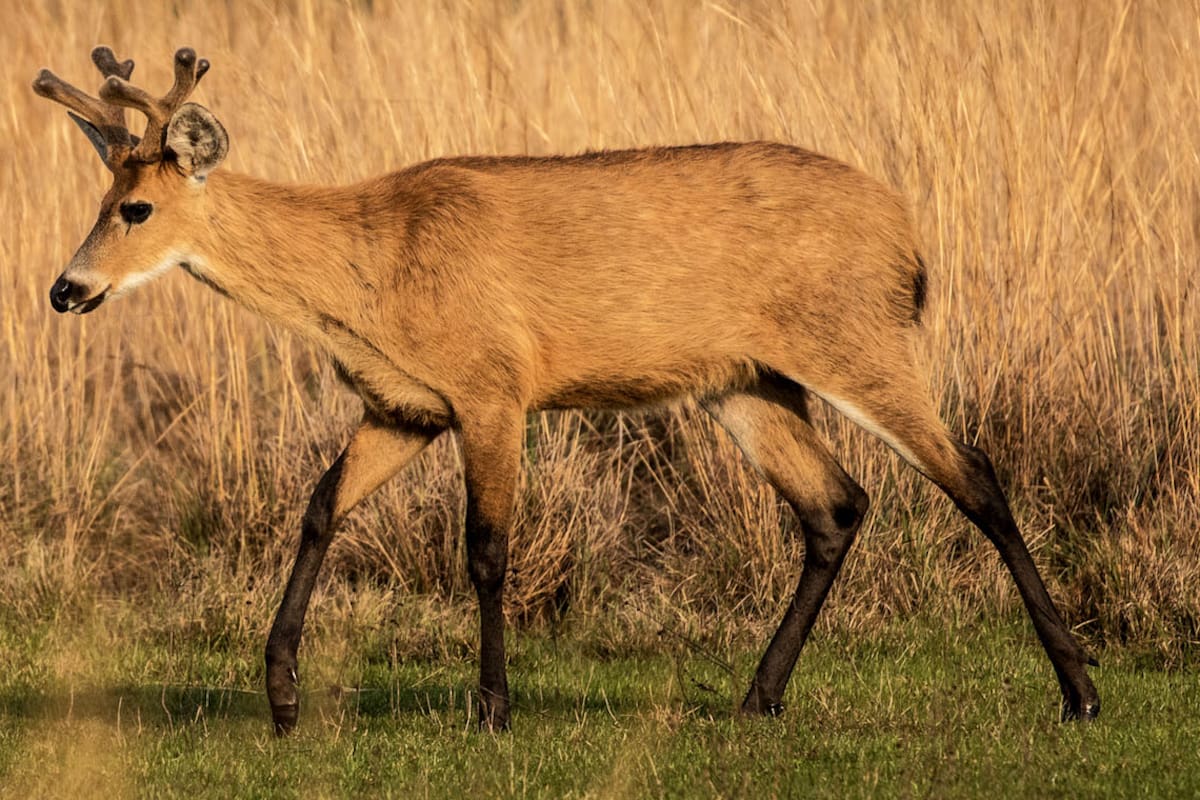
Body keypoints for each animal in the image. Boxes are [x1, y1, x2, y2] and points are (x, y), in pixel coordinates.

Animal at [33, 46, 1099, 734]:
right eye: (100, 199)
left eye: (137, 208)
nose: (65, 290)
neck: (368, 270)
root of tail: (908, 234)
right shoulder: (403, 405)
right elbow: (320, 506)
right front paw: (284, 699)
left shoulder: (493, 385)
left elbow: (486, 551)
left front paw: (493, 711)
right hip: (747, 385)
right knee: (836, 504)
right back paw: (758, 698)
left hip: (858, 337)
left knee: (976, 476)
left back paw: (1081, 691)